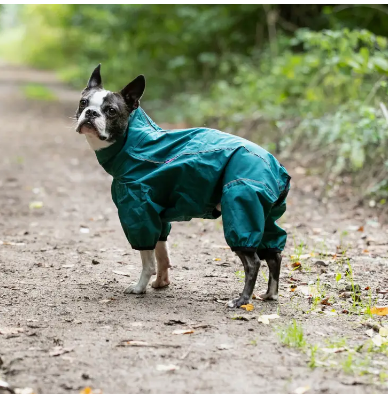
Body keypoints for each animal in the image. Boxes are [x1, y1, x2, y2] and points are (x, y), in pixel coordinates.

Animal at [75, 64, 292, 310]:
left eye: (111, 110)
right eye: (83, 102)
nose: (90, 113)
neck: (135, 143)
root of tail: (277, 167)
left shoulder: (139, 213)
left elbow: (148, 260)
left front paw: (140, 287)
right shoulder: (158, 217)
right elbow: (162, 255)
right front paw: (161, 283)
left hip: (242, 210)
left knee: (253, 262)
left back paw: (241, 300)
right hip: (265, 217)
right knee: (274, 255)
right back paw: (271, 294)